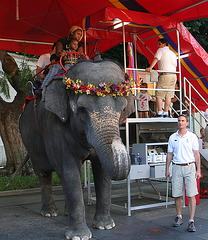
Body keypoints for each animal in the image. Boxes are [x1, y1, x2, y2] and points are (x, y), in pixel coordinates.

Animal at [19, 59, 133, 239]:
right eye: (82, 110)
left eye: (122, 110)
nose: (117, 139)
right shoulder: (54, 125)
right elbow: (69, 169)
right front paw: (79, 236)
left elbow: (101, 171)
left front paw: (106, 226)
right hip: (29, 141)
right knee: (43, 172)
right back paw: (49, 213)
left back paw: (66, 213)